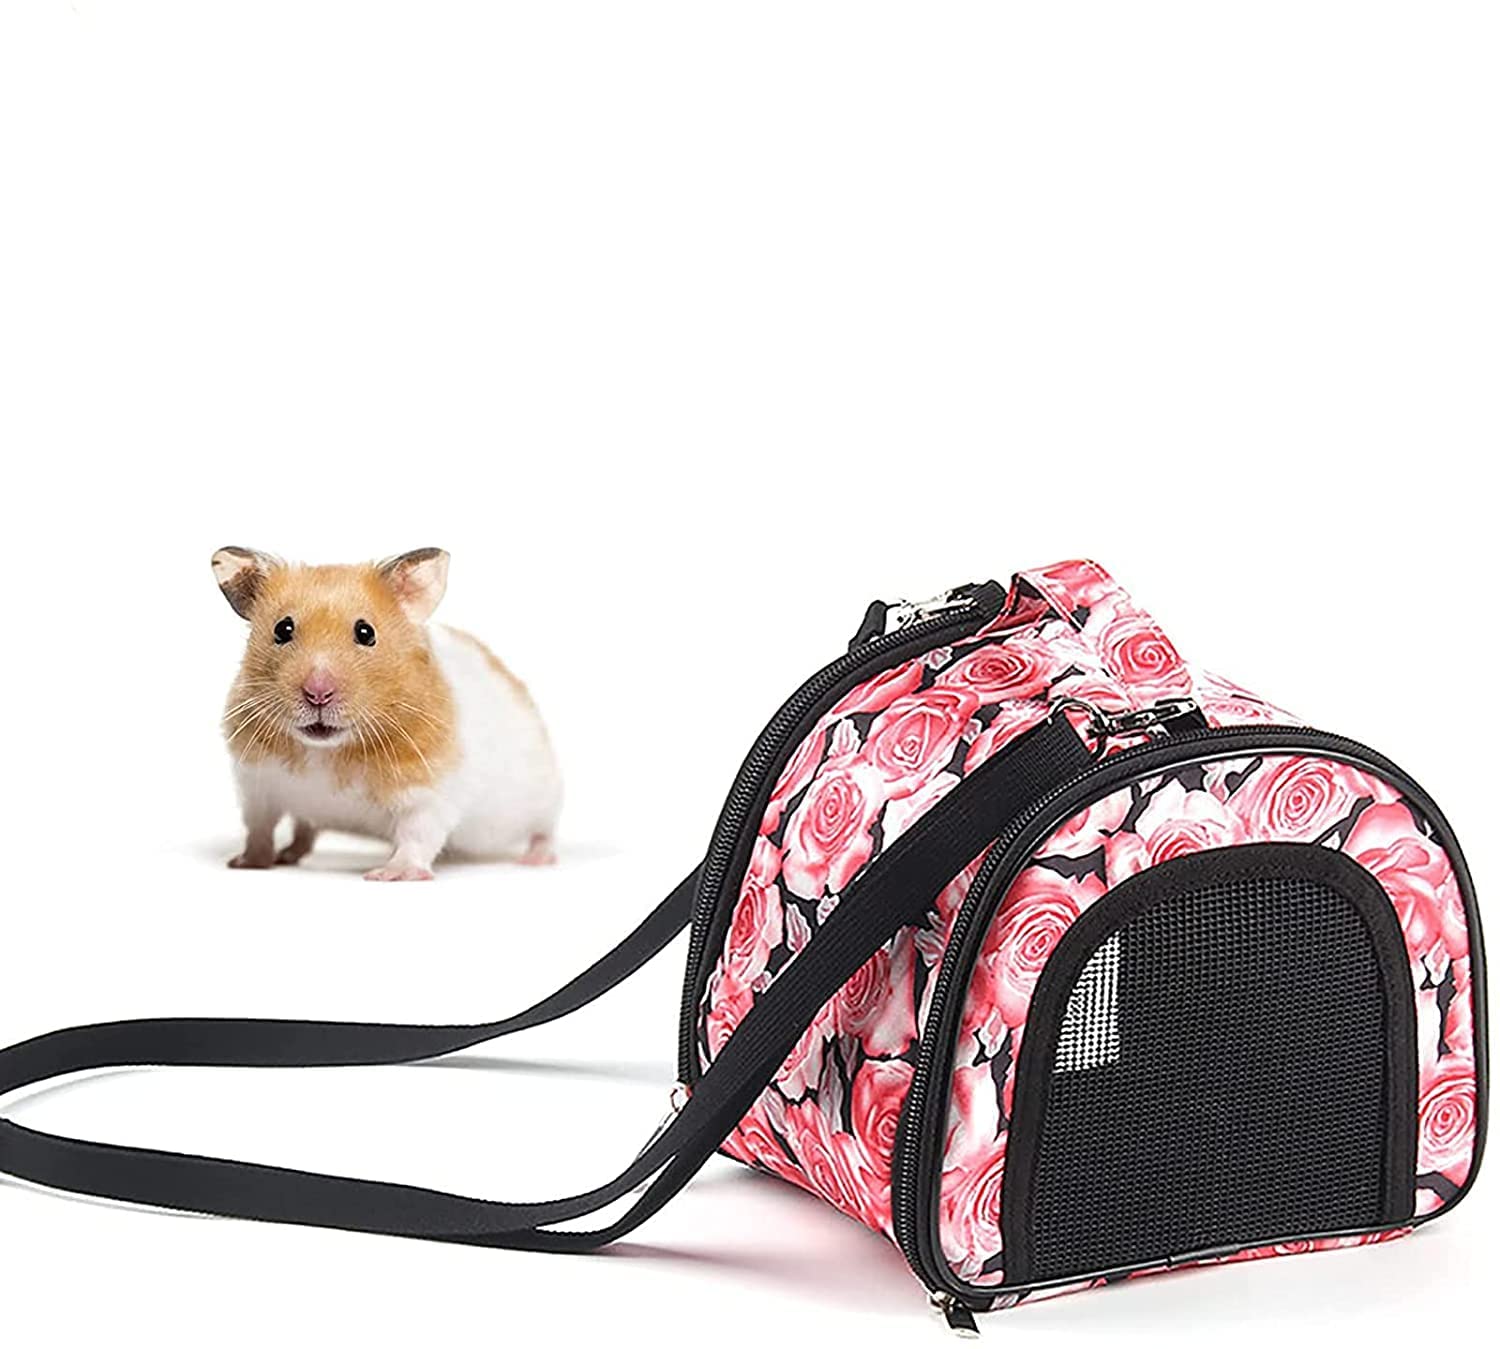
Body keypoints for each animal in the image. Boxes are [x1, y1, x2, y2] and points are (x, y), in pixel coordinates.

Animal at [212, 547, 561, 880]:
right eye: (282, 629)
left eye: (366, 633)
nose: (318, 693)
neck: (325, 752)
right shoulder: (256, 785)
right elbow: (259, 829)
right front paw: (246, 863)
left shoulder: (429, 793)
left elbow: (417, 835)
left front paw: (389, 875)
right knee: (304, 829)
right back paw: (288, 855)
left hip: (543, 796)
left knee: (545, 830)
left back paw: (537, 859)